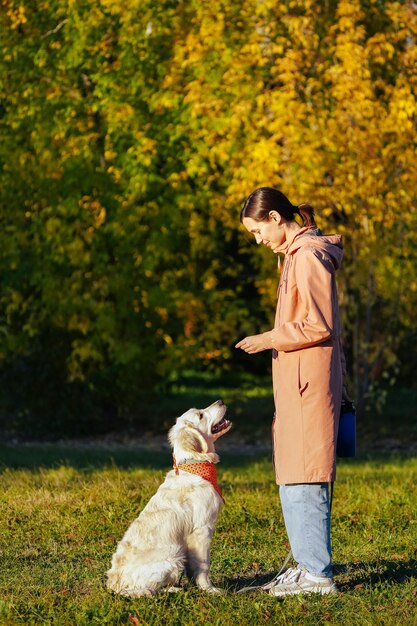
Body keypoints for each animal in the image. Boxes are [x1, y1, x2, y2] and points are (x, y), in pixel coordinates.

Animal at [105, 400, 231, 596]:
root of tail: (114, 584)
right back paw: (173, 589)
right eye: (201, 415)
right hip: (173, 554)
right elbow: (204, 565)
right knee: (149, 590)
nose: (221, 401)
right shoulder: (202, 530)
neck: (194, 465)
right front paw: (209, 589)